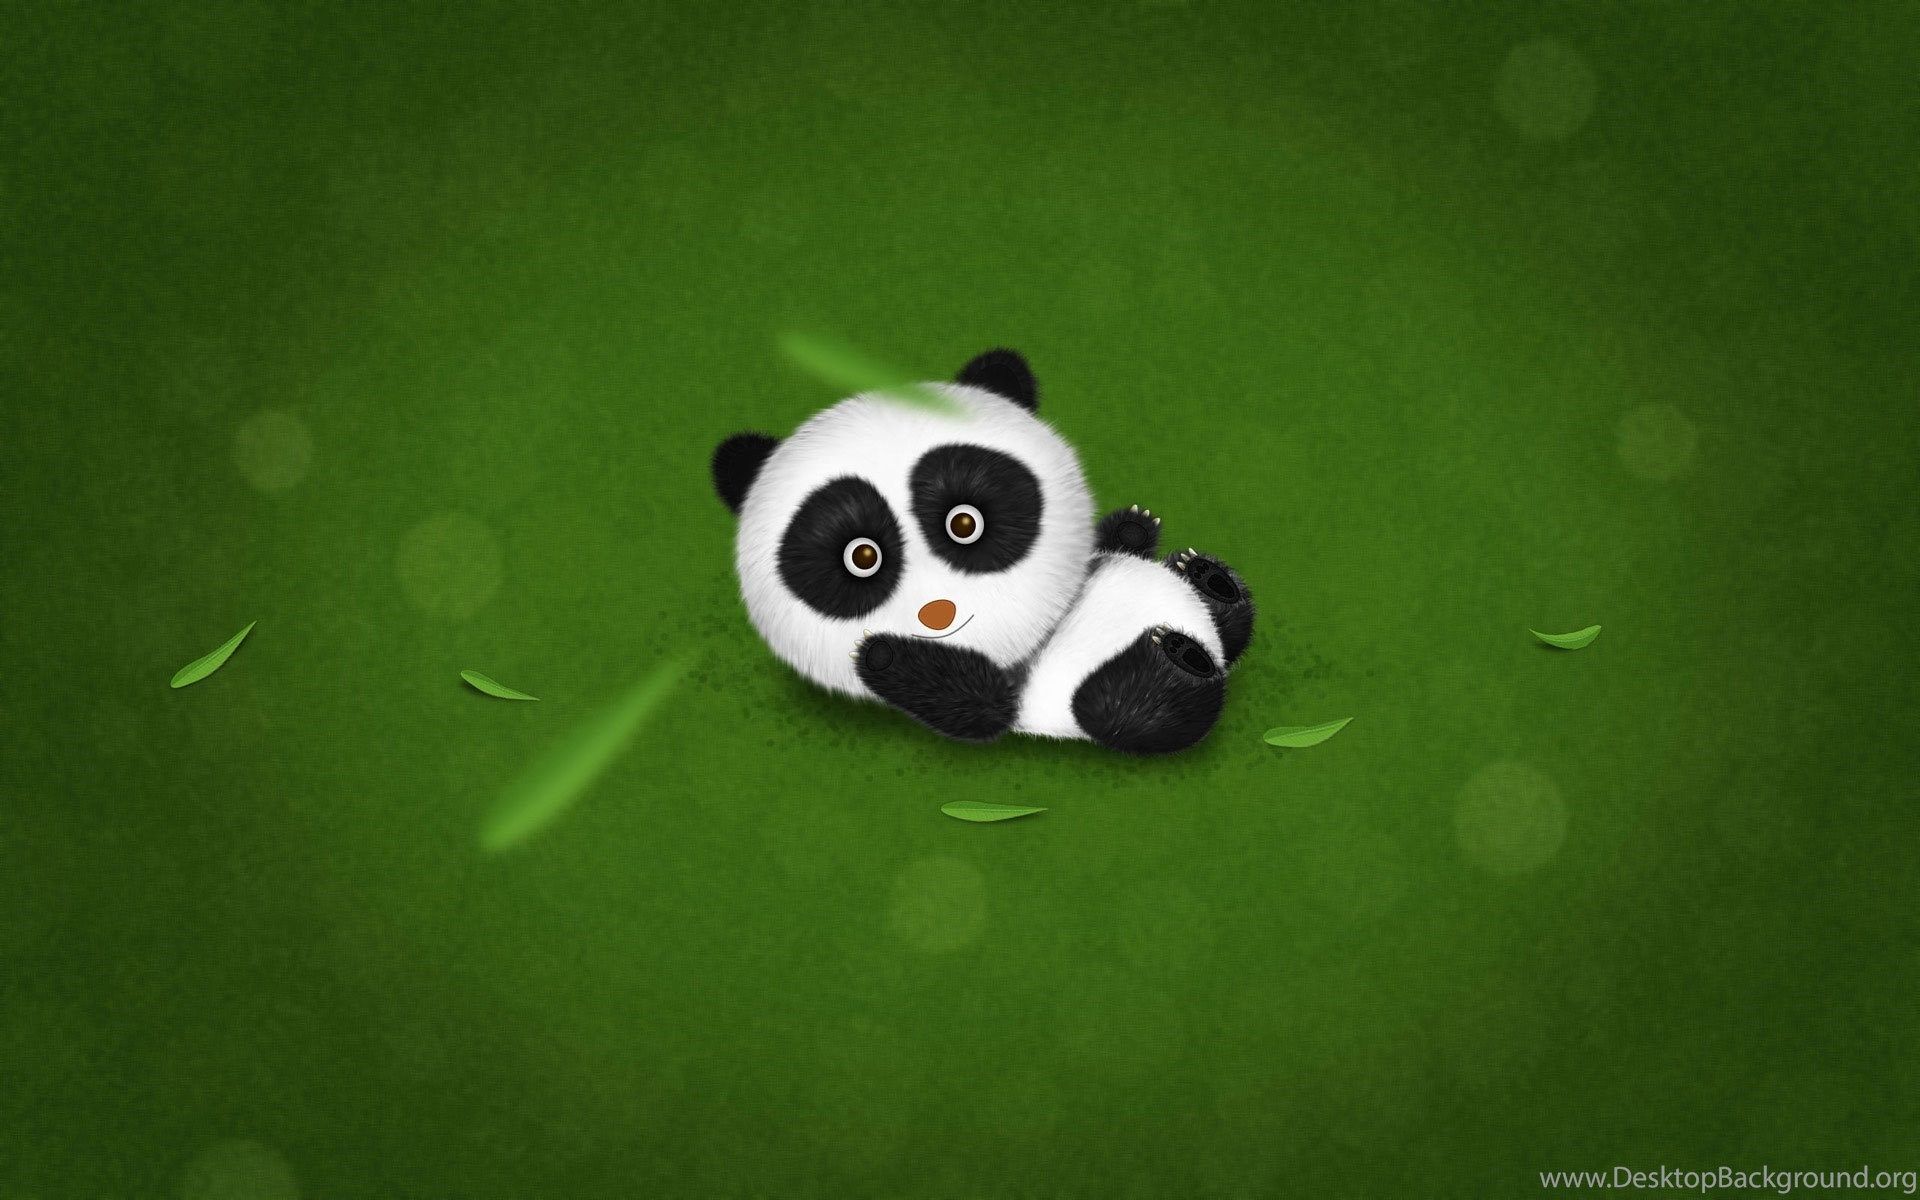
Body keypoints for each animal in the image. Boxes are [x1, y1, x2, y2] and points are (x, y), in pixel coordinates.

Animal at [710, 349, 1255, 755]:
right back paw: (1175, 651)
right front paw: (882, 652)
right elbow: (977, 709)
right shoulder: (1006, 696)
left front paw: (1134, 526)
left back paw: (1203, 578)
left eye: (964, 523)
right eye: (861, 557)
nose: (937, 613)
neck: (1042, 634)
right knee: (1136, 706)